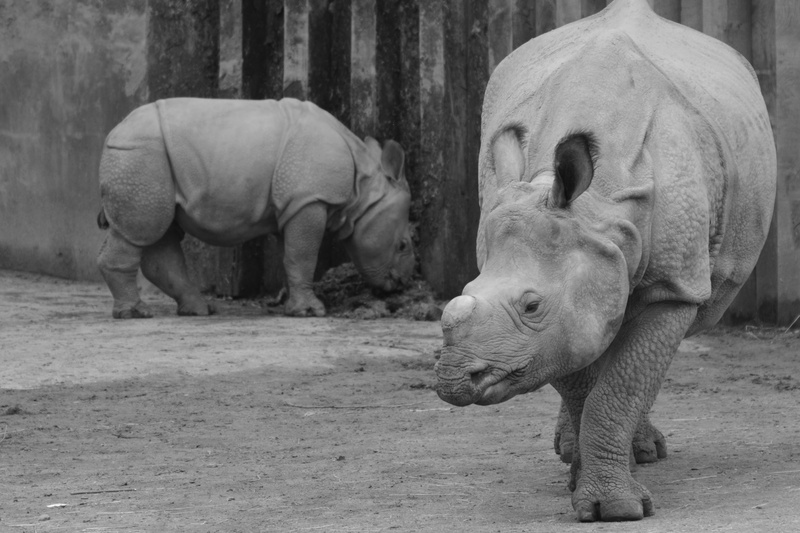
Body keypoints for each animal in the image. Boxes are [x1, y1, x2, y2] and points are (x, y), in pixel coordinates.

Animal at [96, 97, 414, 318]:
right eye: (403, 245)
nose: (400, 285)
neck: (364, 187)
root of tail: (113, 132)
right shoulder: (310, 199)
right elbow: (304, 255)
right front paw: (312, 312)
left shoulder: (292, 203)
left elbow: (292, 256)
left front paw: (294, 306)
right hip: (140, 157)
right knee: (141, 230)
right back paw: (135, 313)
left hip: (150, 163)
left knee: (161, 231)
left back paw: (200, 310)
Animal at [434, 0, 776, 522]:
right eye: (464, 293)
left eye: (531, 306)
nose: (454, 379)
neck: (598, 214)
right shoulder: (566, 309)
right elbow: (580, 375)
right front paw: (588, 488)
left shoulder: (671, 285)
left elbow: (623, 382)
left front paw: (615, 509)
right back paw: (579, 454)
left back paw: (643, 453)